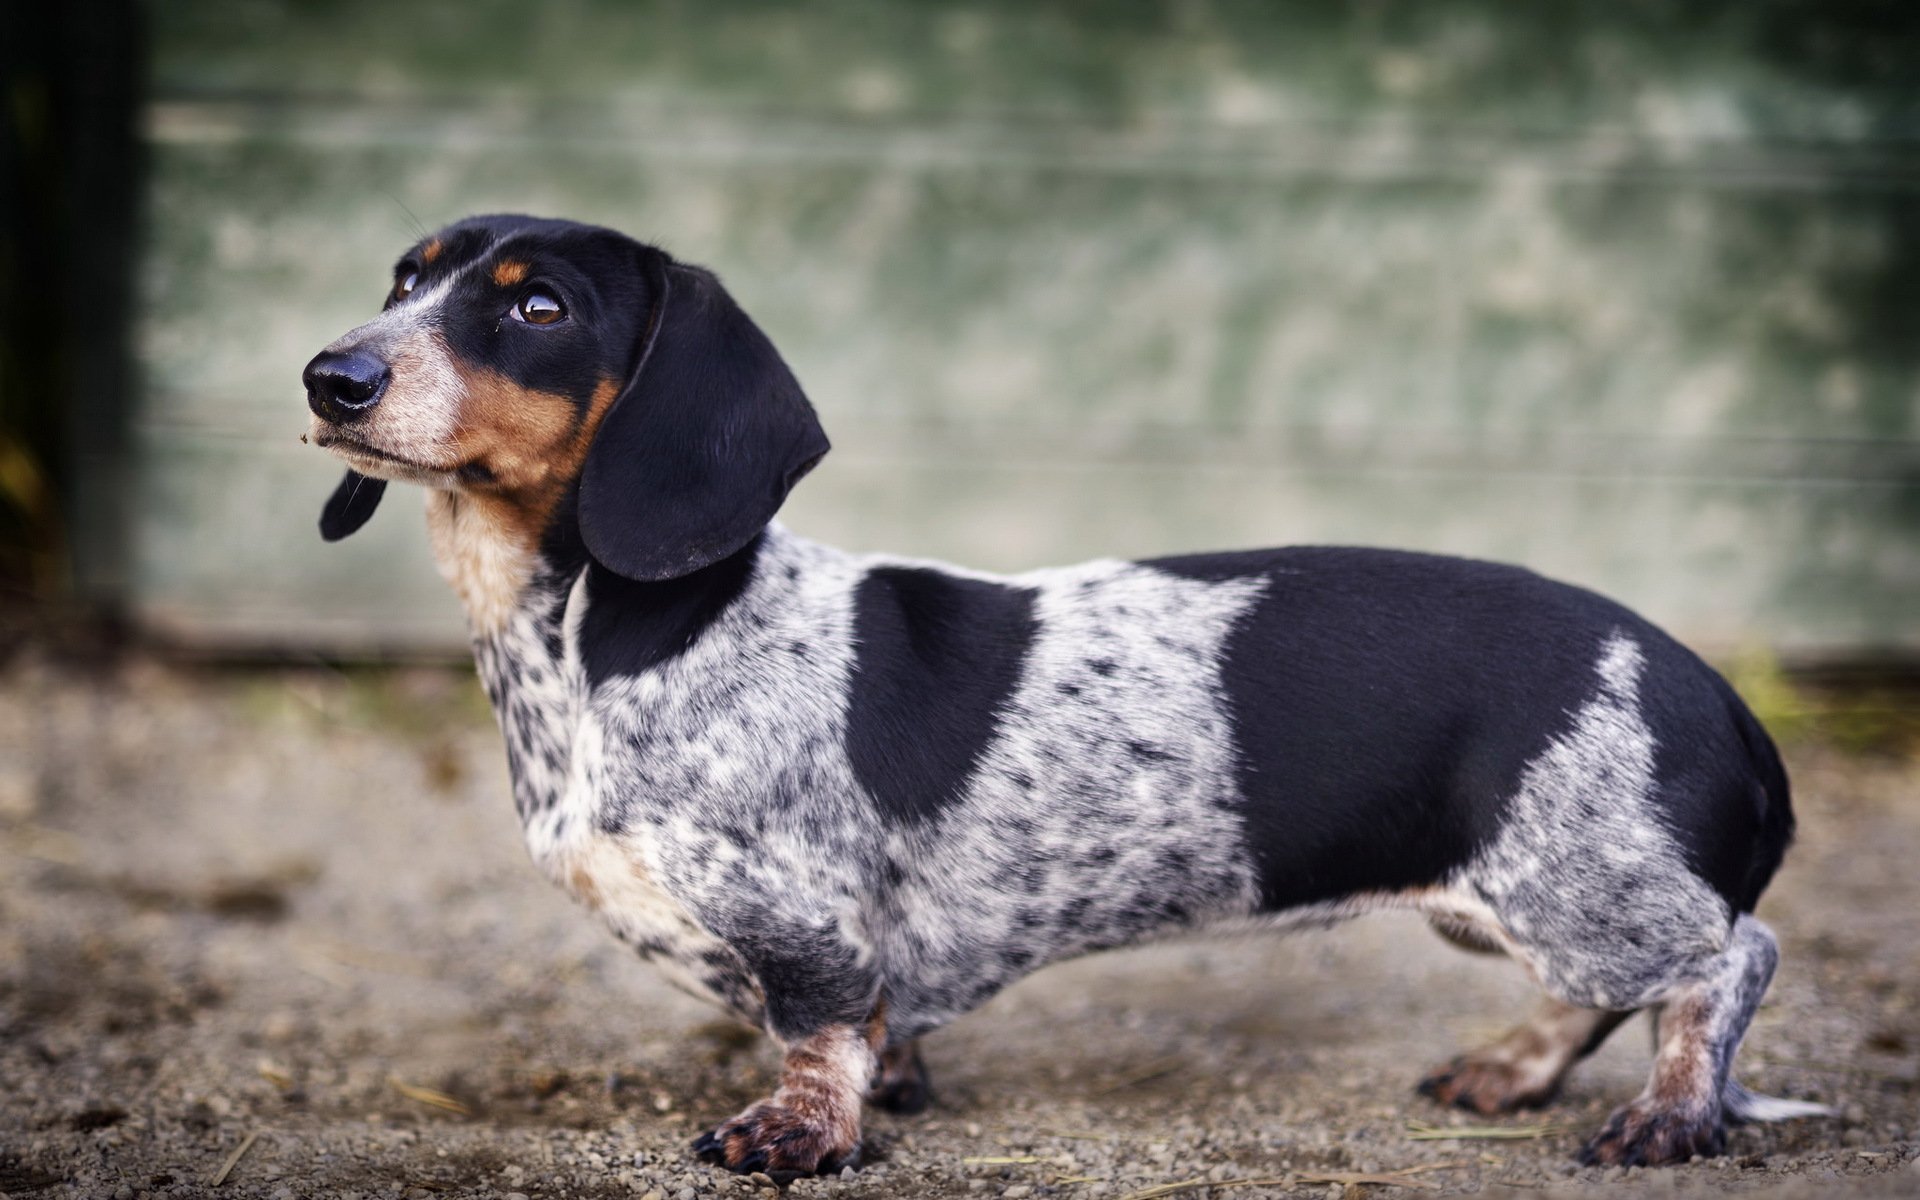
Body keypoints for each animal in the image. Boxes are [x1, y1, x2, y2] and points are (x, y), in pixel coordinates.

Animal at [303, 213, 1827, 1167]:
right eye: (401, 279)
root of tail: (1714, 692)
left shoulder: (804, 924)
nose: (331, 375)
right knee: (1624, 988)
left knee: (1727, 961)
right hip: (1520, 903)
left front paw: (800, 1134)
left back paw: (1670, 1116)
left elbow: (816, 1032)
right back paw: (1510, 1067)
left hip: (1579, 896)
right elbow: (866, 1034)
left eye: (538, 305)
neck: (601, 634)